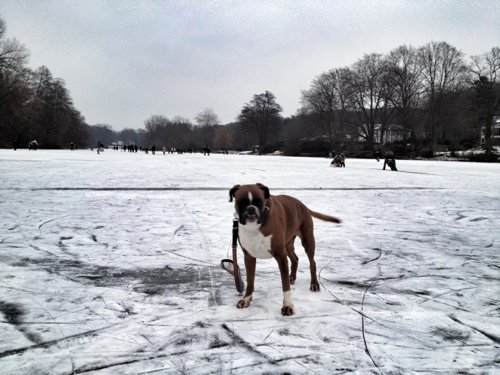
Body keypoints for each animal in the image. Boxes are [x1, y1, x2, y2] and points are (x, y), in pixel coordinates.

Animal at [229, 184, 340, 316]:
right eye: (241, 202)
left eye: (259, 201)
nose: (251, 209)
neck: (255, 226)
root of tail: (303, 205)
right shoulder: (249, 257)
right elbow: (250, 281)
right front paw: (246, 299)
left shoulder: (280, 256)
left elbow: (285, 286)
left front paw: (288, 306)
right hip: (288, 244)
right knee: (295, 259)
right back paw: (292, 277)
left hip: (307, 242)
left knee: (312, 263)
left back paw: (314, 283)